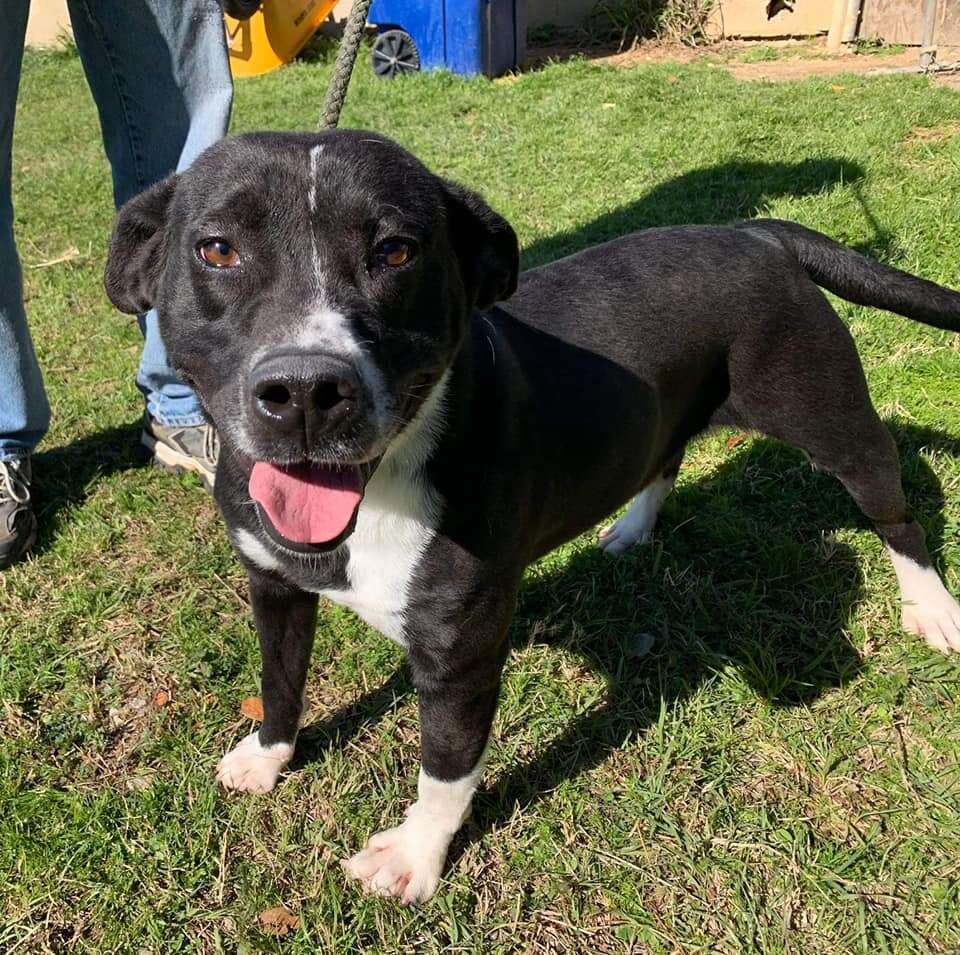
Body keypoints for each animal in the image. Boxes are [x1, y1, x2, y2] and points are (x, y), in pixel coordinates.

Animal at [105, 129, 960, 904]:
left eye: (396, 252)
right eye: (217, 250)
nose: (307, 389)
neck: (382, 486)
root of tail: (759, 232)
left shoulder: (460, 649)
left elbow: (446, 766)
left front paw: (414, 854)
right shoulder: (273, 586)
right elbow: (280, 679)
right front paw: (268, 755)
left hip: (835, 421)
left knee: (898, 515)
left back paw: (932, 608)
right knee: (664, 455)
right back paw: (632, 529)